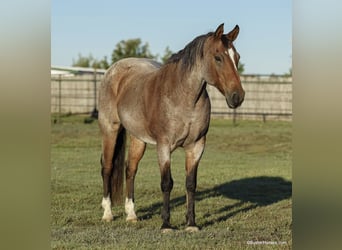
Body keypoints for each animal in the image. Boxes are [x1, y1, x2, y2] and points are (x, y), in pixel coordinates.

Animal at [97, 23, 244, 232]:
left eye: (237, 57)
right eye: (218, 57)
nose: (237, 96)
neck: (182, 96)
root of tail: (114, 70)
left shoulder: (196, 146)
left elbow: (191, 183)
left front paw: (191, 224)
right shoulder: (164, 146)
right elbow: (167, 183)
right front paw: (166, 224)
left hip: (137, 138)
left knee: (130, 170)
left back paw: (132, 215)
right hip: (110, 130)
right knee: (107, 168)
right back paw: (108, 214)